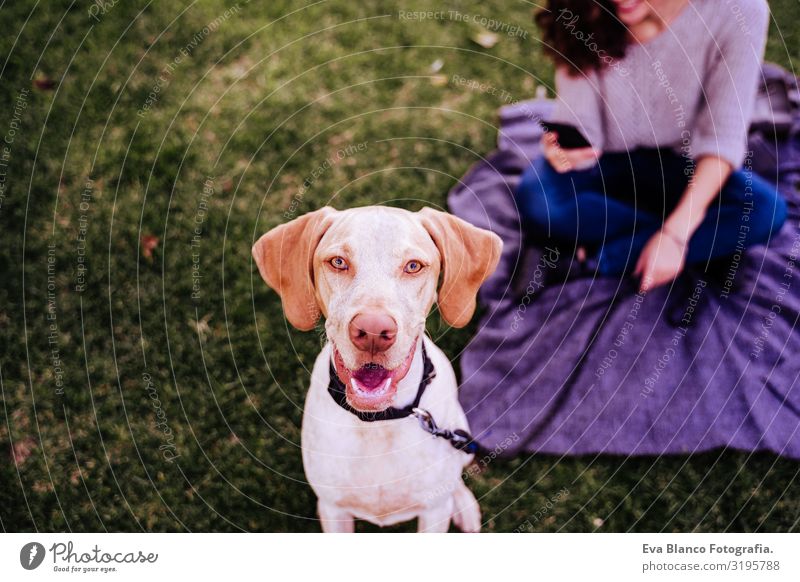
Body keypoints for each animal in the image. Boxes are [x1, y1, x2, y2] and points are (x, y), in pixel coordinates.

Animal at [252, 206, 500, 532]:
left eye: (413, 266)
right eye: (338, 262)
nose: (372, 331)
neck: (378, 423)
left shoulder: (433, 511)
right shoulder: (333, 509)